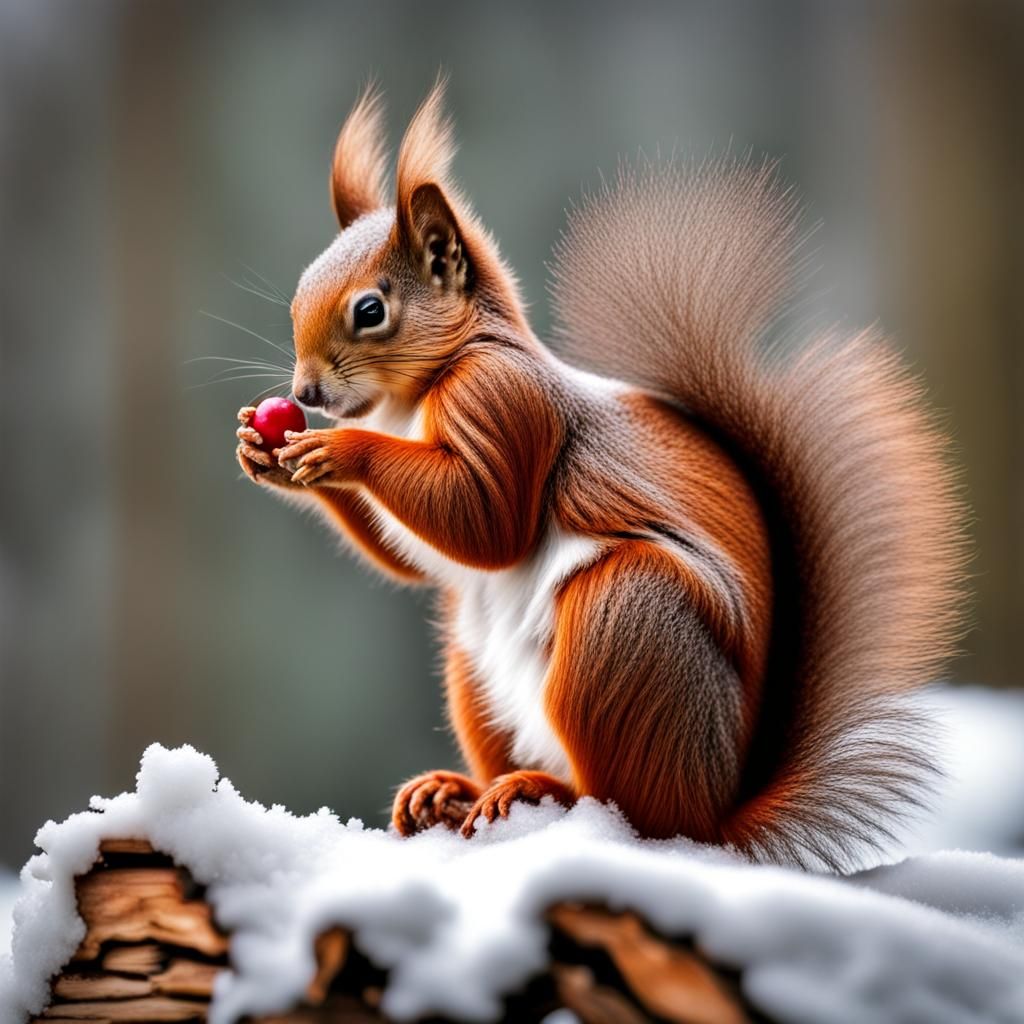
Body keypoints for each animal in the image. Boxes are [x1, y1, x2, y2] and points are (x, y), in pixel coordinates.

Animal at [235, 81, 965, 869]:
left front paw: (344, 451)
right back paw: (457, 791)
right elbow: (415, 559)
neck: (407, 401)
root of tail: (714, 815)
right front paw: (262, 450)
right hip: (475, 662)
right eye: (298, 295)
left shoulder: (504, 403)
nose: (304, 394)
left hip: (626, 625)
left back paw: (541, 791)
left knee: (626, 807)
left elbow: (487, 524)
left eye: (370, 310)